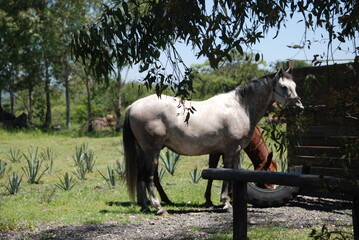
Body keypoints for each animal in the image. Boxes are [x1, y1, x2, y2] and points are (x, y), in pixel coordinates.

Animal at [124, 68, 304, 215]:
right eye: (284, 87)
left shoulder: (230, 152)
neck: (239, 108)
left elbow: (231, 175)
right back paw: (159, 207)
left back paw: (145, 206)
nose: (299, 107)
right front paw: (226, 203)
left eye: (295, 85)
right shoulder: (231, 151)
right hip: (152, 151)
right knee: (148, 175)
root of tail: (133, 106)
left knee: (141, 175)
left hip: (143, 151)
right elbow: (227, 175)